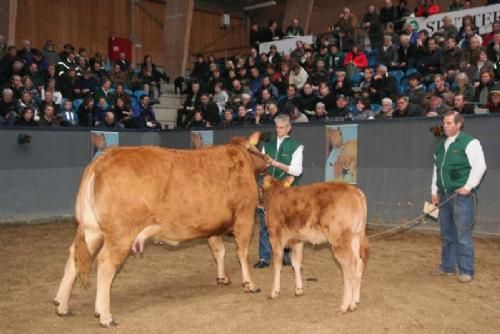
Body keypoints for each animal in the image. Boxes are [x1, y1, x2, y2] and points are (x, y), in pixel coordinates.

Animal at [54, 132, 270, 326]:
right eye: (260, 148)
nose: (268, 160)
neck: (241, 157)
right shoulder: (245, 216)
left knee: (74, 256)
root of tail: (102, 159)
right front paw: (250, 284)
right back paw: (105, 316)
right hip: (120, 234)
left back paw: (62, 305)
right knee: (105, 263)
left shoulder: (212, 225)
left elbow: (219, 251)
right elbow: (242, 252)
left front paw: (222, 278)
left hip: (91, 229)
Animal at [264, 177, 370, 314]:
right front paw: (299, 289)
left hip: (339, 239)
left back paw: (344, 306)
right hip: (356, 237)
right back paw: (354, 302)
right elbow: (296, 263)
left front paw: (274, 292)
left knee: (349, 265)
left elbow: (278, 265)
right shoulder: (298, 240)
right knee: (360, 261)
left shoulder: (274, 237)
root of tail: (354, 190)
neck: (275, 193)